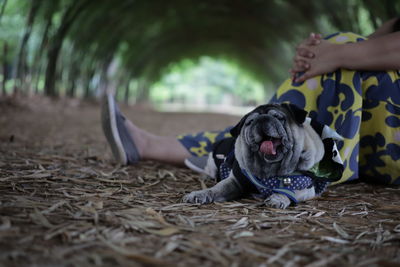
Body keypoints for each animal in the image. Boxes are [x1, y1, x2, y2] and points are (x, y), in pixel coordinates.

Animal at [183, 103, 342, 210]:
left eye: (279, 118)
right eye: (250, 122)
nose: (262, 119)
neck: (269, 169)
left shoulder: (306, 188)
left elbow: (291, 191)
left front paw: (278, 198)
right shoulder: (235, 181)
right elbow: (217, 189)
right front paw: (200, 194)